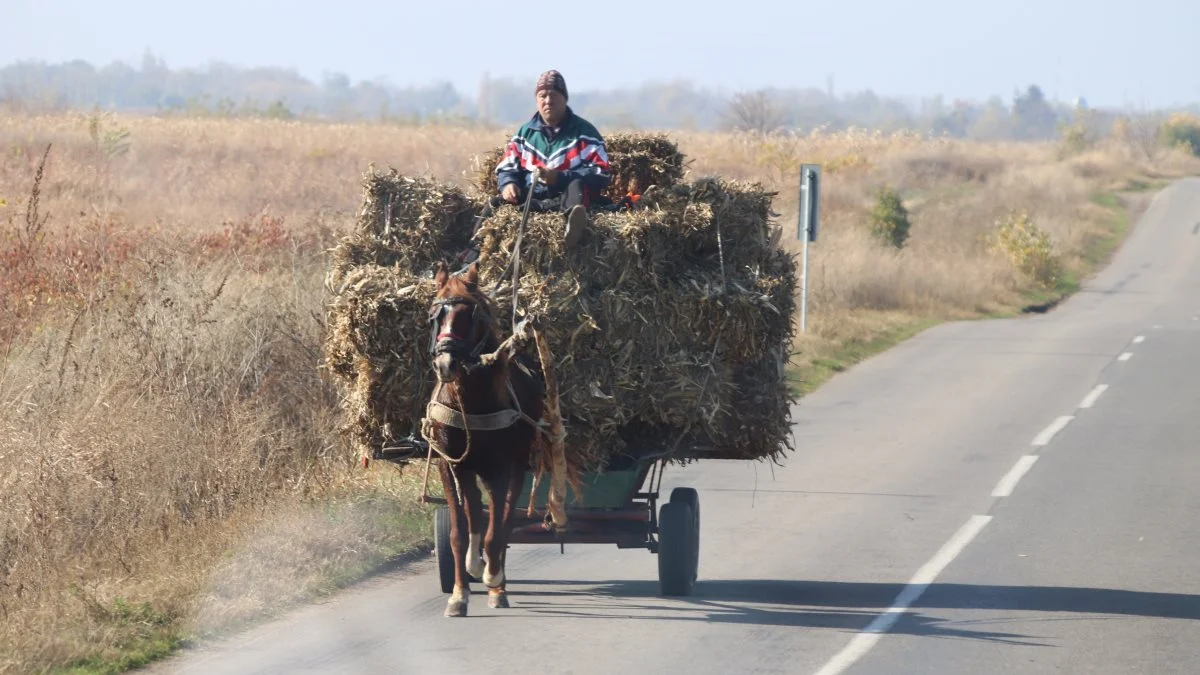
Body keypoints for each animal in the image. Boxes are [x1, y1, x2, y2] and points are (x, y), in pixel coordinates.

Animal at [422, 258, 556, 614]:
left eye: (471, 315)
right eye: (434, 313)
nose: (446, 363)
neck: (470, 402)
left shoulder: (500, 468)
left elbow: (498, 530)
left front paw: (495, 583)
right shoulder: (451, 466)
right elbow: (460, 531)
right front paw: (459, 593)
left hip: (516, 467)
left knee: (504, 520)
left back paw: (497, 578)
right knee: (477, 516)